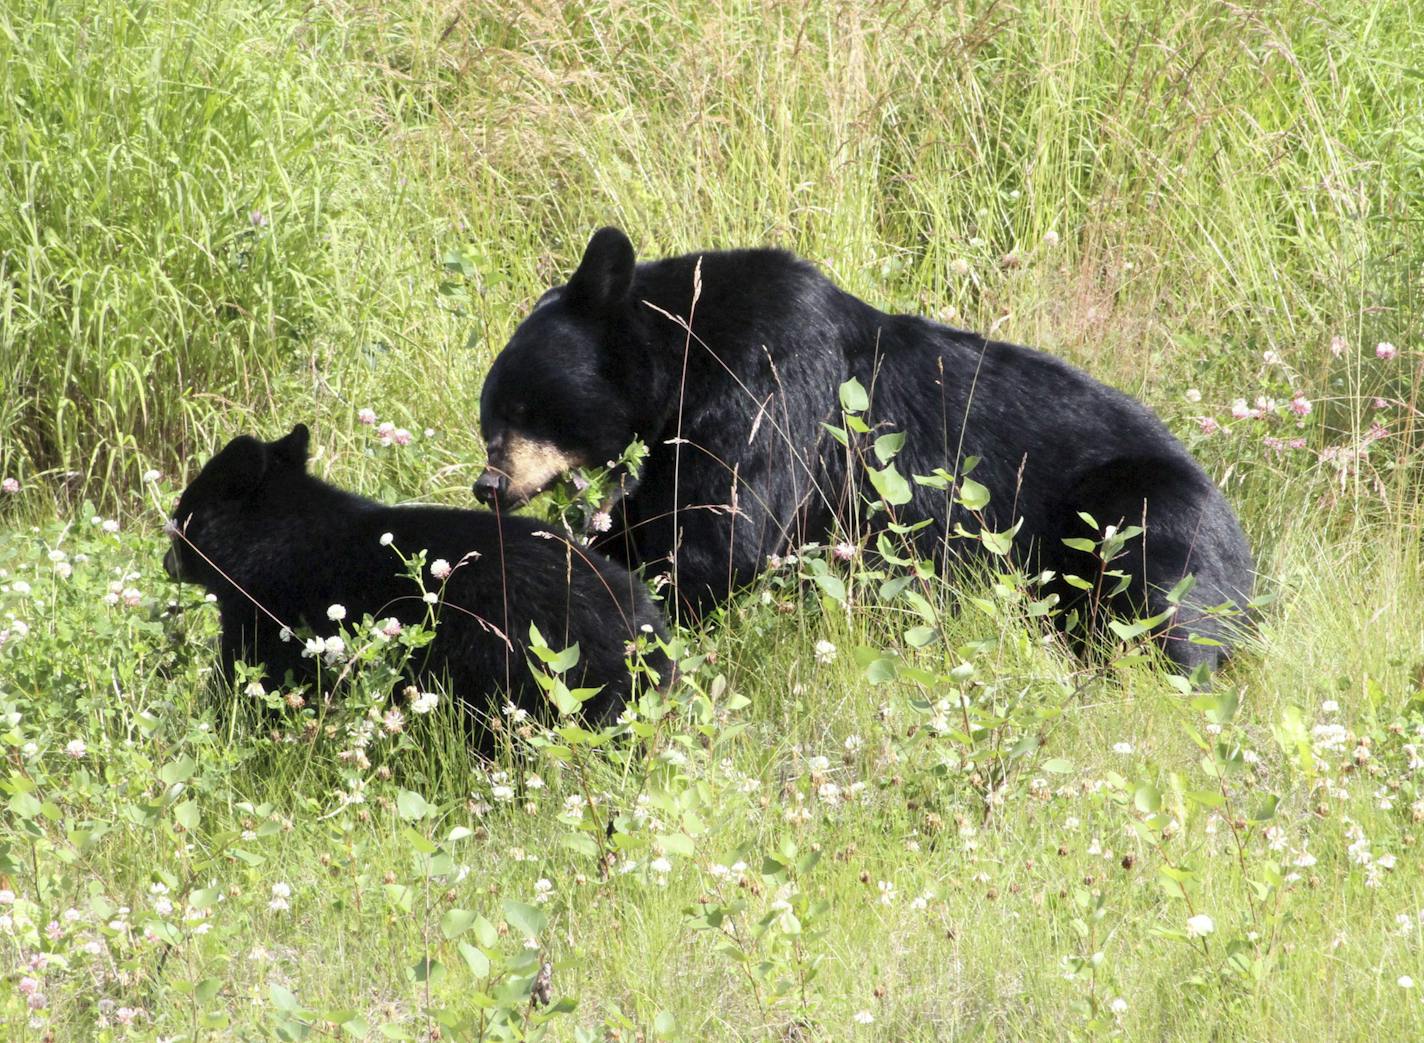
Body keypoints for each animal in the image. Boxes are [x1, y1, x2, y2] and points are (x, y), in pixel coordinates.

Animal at [165, 424, 666, 735]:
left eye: (180, 518)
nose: (168, 562)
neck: (271, 536)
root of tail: (642, 624)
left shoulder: (270, 611)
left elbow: (249, 679)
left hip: (527, 665)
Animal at [472, 226, 1253, 675]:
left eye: (521, 407)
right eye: (489, 417)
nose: (490, 485)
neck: (685, 347)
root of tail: (1252, 564)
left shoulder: (770, 380)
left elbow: (720, 529)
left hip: (1140, 511)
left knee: (1158, 596)